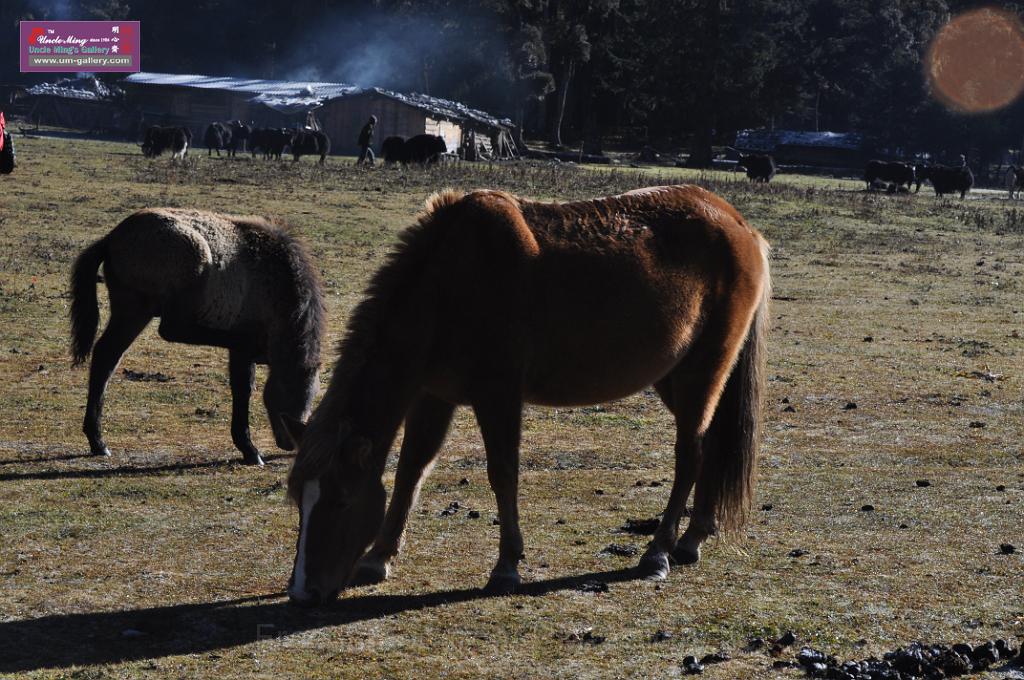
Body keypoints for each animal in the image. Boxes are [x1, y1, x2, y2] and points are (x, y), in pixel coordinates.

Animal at [70, 206, 323, 464]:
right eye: (287, 387)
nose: (289, 443)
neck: (275, 277)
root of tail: (112, 238)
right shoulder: (242, 351)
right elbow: (243, 388)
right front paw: (250, 450)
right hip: (167, 288)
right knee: (169, 330)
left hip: (132, 313)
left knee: (106, 356)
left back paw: (97, 441)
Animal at [282, 183, 770, 602]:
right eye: (299, 502)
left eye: (341, 500)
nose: (303, 592)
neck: (451, 280)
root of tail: (741, 226)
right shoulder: (433, 394)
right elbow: (411, 468)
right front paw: (379, 557)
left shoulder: (497, 395)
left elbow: (502, 473)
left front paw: (506, 567)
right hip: (673, 377)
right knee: (712, 445)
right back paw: (693, 538)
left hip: (701, 374)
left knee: (690, 454)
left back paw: (658, 553)